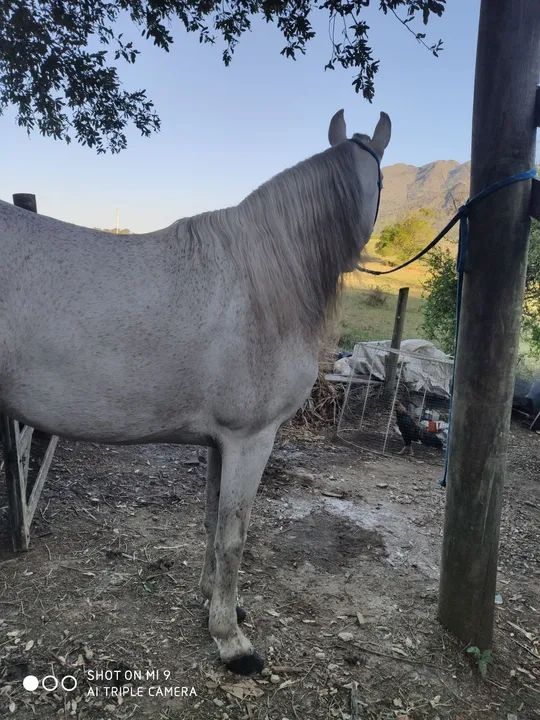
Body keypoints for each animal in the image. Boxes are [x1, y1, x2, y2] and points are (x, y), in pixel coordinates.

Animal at [0, 109, 391, 674]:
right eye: (382, 181)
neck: (261, 282)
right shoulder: (251, 440)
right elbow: (233, 535)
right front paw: (231, 640)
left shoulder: (219, 443)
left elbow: (211, 519)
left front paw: (214, 601)